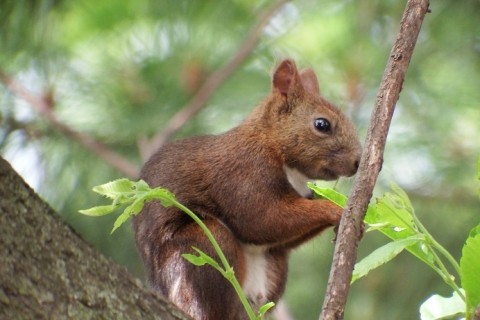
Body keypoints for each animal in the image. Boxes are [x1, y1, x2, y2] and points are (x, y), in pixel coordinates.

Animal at [133, 58, 362, 318]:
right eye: (322, 124)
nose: (358, 161)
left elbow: (280, 237)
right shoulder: (243, 172)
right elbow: (260, 219)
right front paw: (336, 209)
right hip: (201, 248)